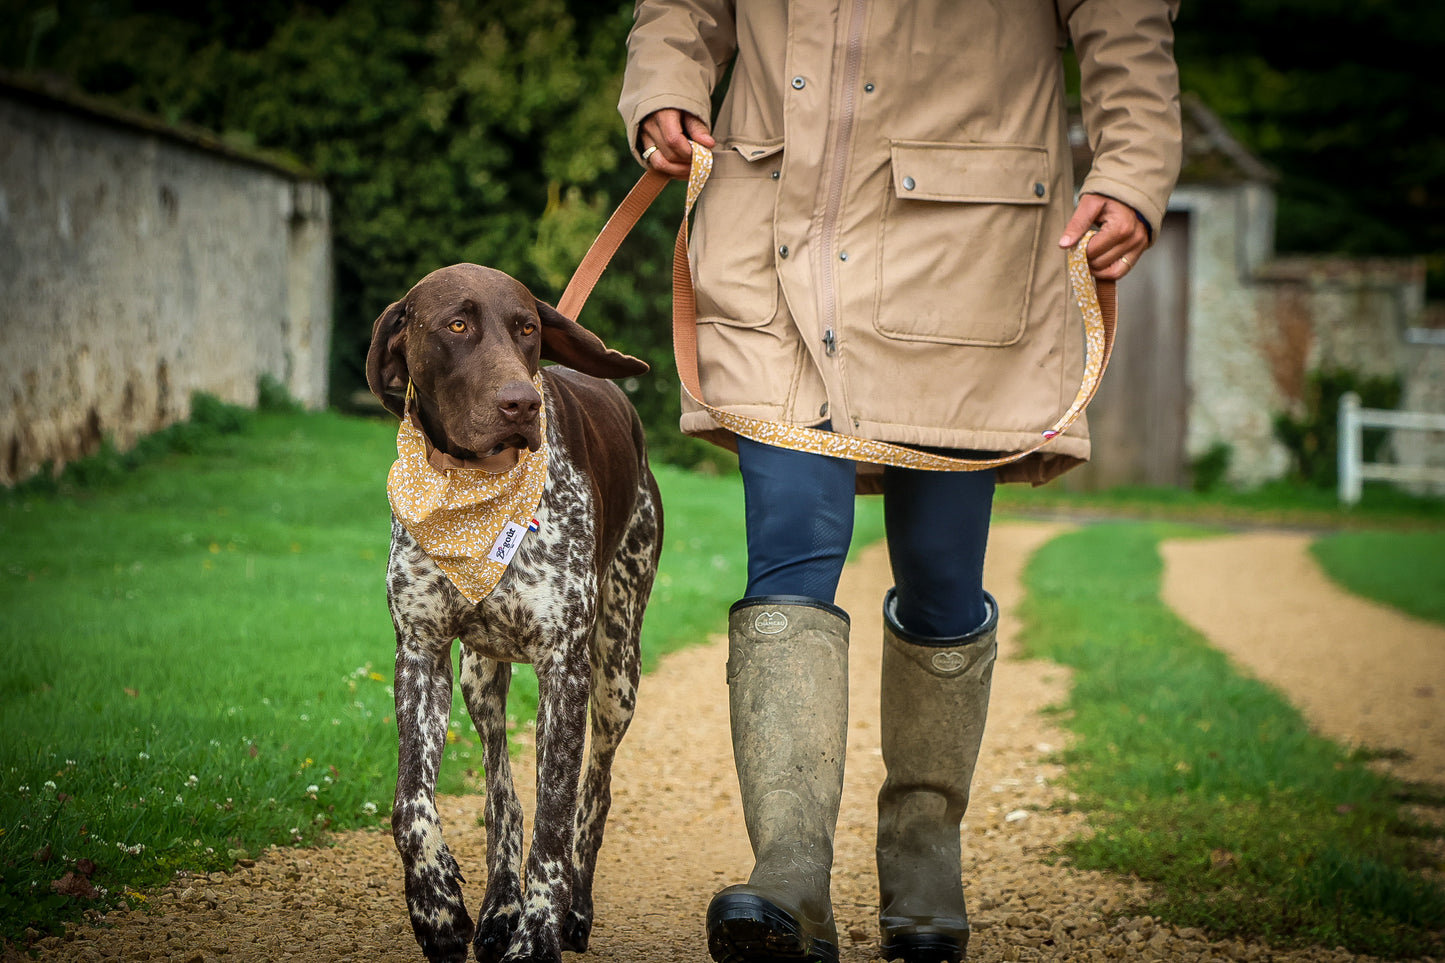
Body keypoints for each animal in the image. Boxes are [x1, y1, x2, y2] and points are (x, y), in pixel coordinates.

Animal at [369, 264, 667, 960]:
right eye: (456, 324)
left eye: (527, 328)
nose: (521, 404)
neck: (473, 490)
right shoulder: (420, 652)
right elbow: (410, 806)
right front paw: (437, 906)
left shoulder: (565, 667)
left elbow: (555, 818)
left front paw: (538, 935)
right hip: (480, 676)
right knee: (502, 794)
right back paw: (498, 904)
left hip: (616, 671)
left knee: (594, 793)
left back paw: (572, 908)